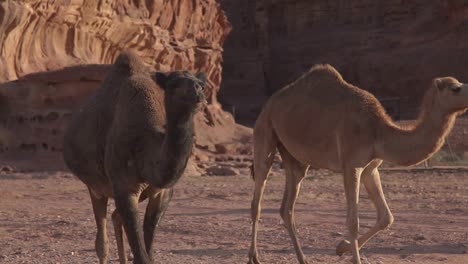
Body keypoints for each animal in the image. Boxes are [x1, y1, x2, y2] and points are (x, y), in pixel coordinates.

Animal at [62, 51, 207, 264]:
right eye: (174, 83)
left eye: (202, 84)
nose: (197, 90)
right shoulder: (124, 186)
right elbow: (140, 254)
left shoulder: (162, 191)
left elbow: (148, 251)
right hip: (95, 187)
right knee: (102, 241)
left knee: (116, 217)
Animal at [247, 64, 468, 264]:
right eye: (455, 88)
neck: (378, 131)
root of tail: (271, 101)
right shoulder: (351, 165)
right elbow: (353, 222)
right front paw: (350, 253)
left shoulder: (371, 168)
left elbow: (386, 217)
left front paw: (341, 247)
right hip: (265, 130)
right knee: (258, 197)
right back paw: (254, 257)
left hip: (296, 158)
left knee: (287, 208)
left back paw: (303, 259)